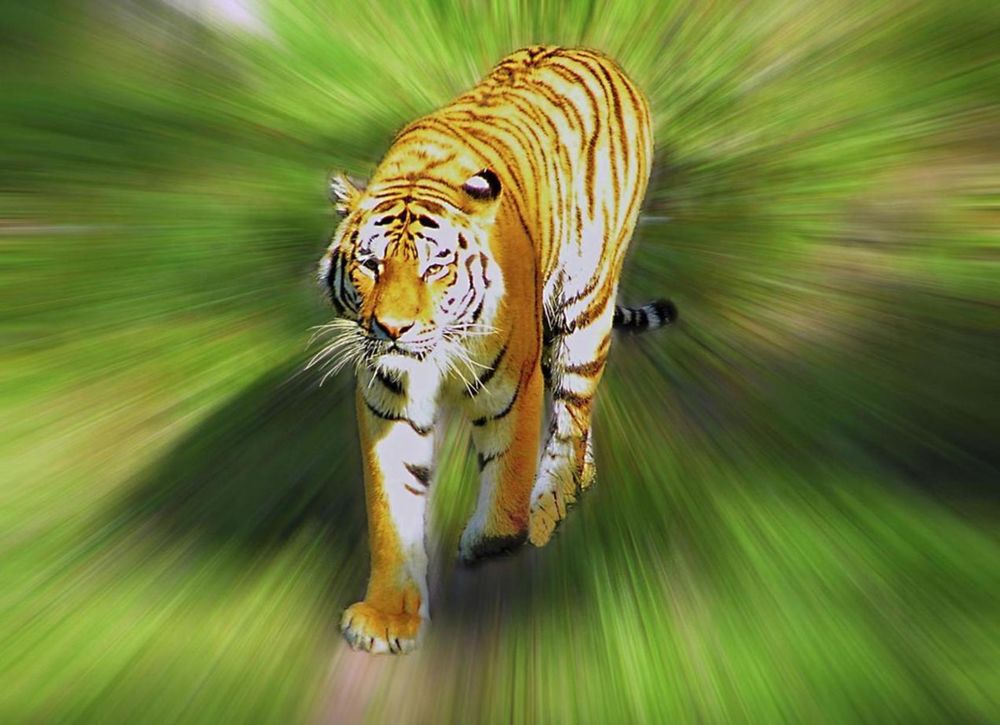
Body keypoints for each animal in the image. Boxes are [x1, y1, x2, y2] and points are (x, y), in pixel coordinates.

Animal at [315, 45, 675, 654]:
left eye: (435, 268)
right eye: (370, 264)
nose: (392, 329)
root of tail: (595, 51)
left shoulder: (514, 386)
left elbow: (508, 479)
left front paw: (489, 540)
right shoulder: (389, 405)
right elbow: (393, 510)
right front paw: (388, 616)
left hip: (584, 307)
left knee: (571, 418)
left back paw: (551, 505)